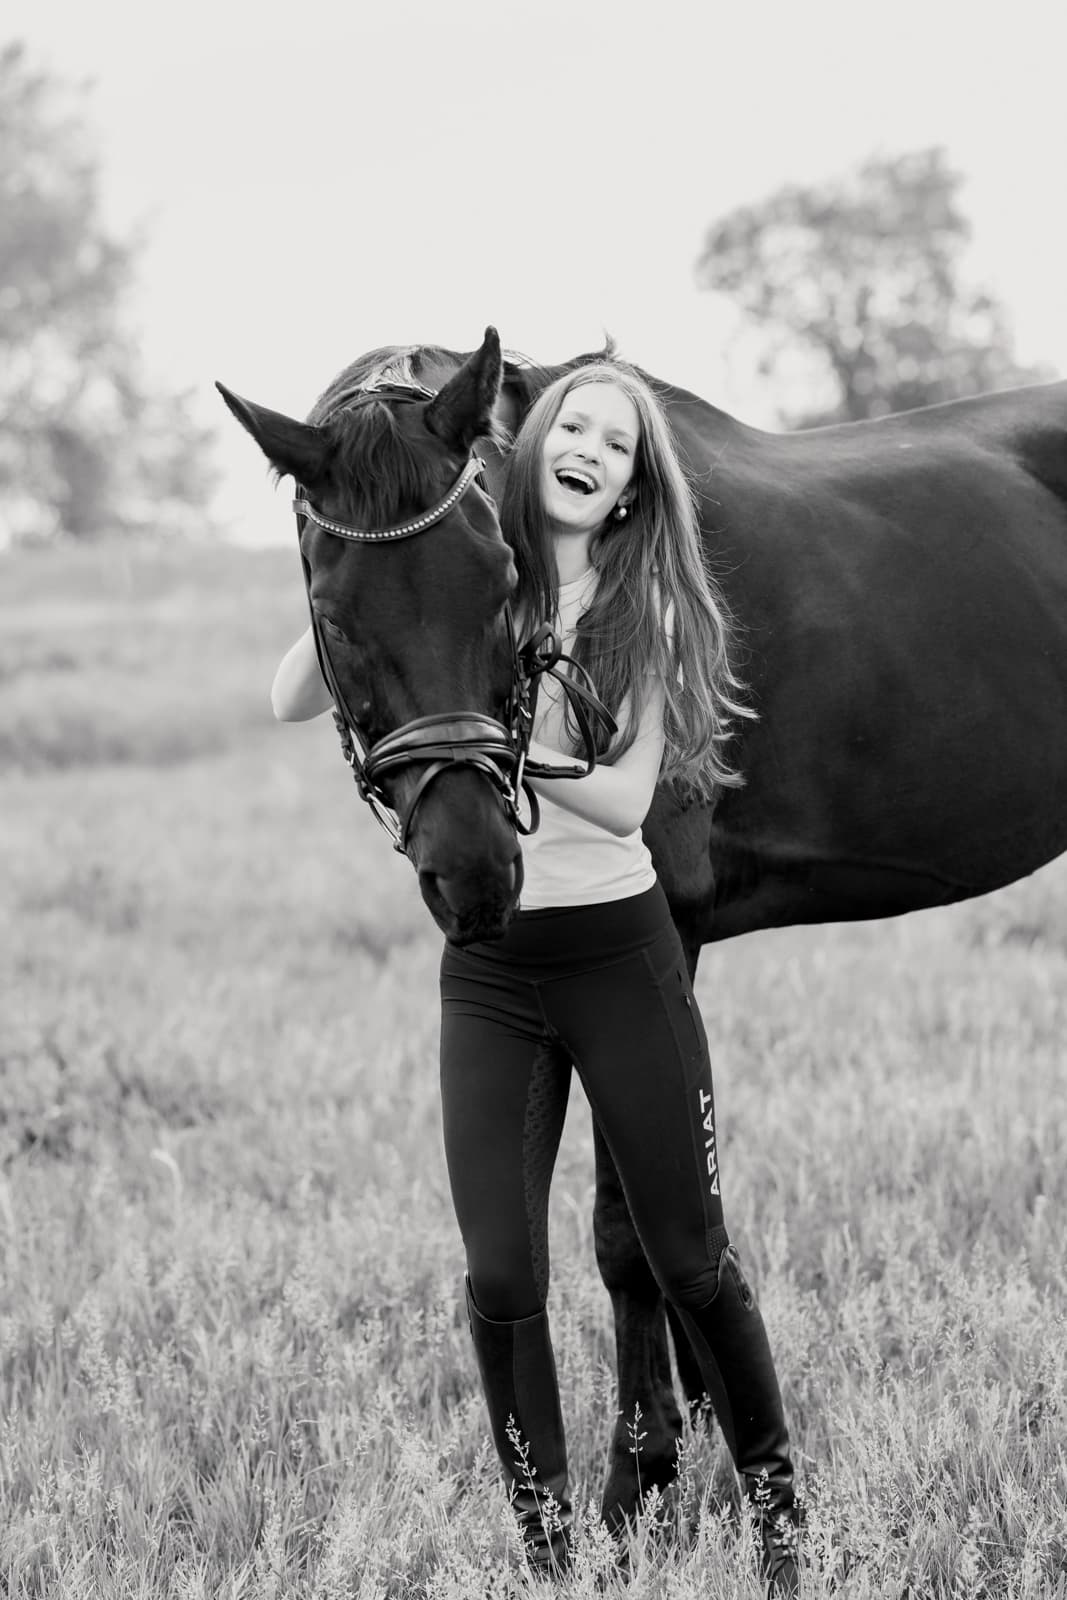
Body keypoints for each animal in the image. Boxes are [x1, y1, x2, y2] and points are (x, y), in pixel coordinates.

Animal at [219, 329, 1067, 1528]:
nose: (475, 871)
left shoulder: (666, 925)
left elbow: (626, 1236)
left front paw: (644, 1477)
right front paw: (695, 1425)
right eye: (333, 621)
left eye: (503, 591)